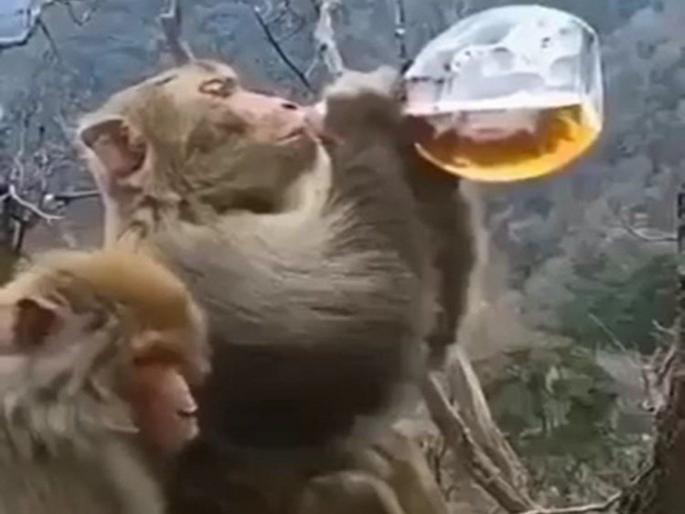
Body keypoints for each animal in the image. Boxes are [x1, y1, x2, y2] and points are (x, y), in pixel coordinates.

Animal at [77, 60, 471, 514]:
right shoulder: (192, 266)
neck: (186, 204)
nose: (287, 105)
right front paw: (359, 106)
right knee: (350, 486)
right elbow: (371, 324)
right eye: (219, 91)